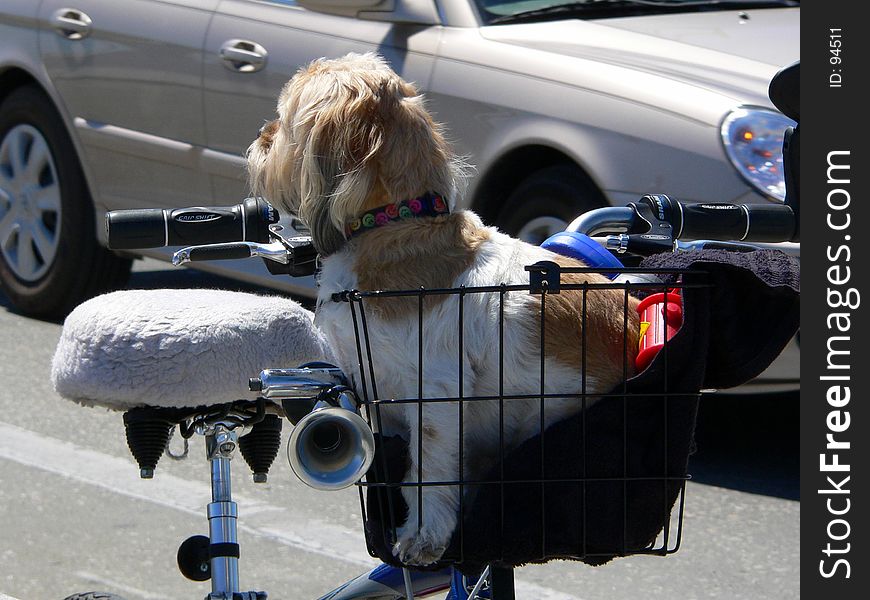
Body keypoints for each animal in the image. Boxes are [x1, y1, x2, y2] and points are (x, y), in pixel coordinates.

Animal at [249, 52, 644, 568]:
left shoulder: (433, 394)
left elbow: (428, 470)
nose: (262, 135)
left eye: (286, 118)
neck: (393, 224)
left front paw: (424, 535)